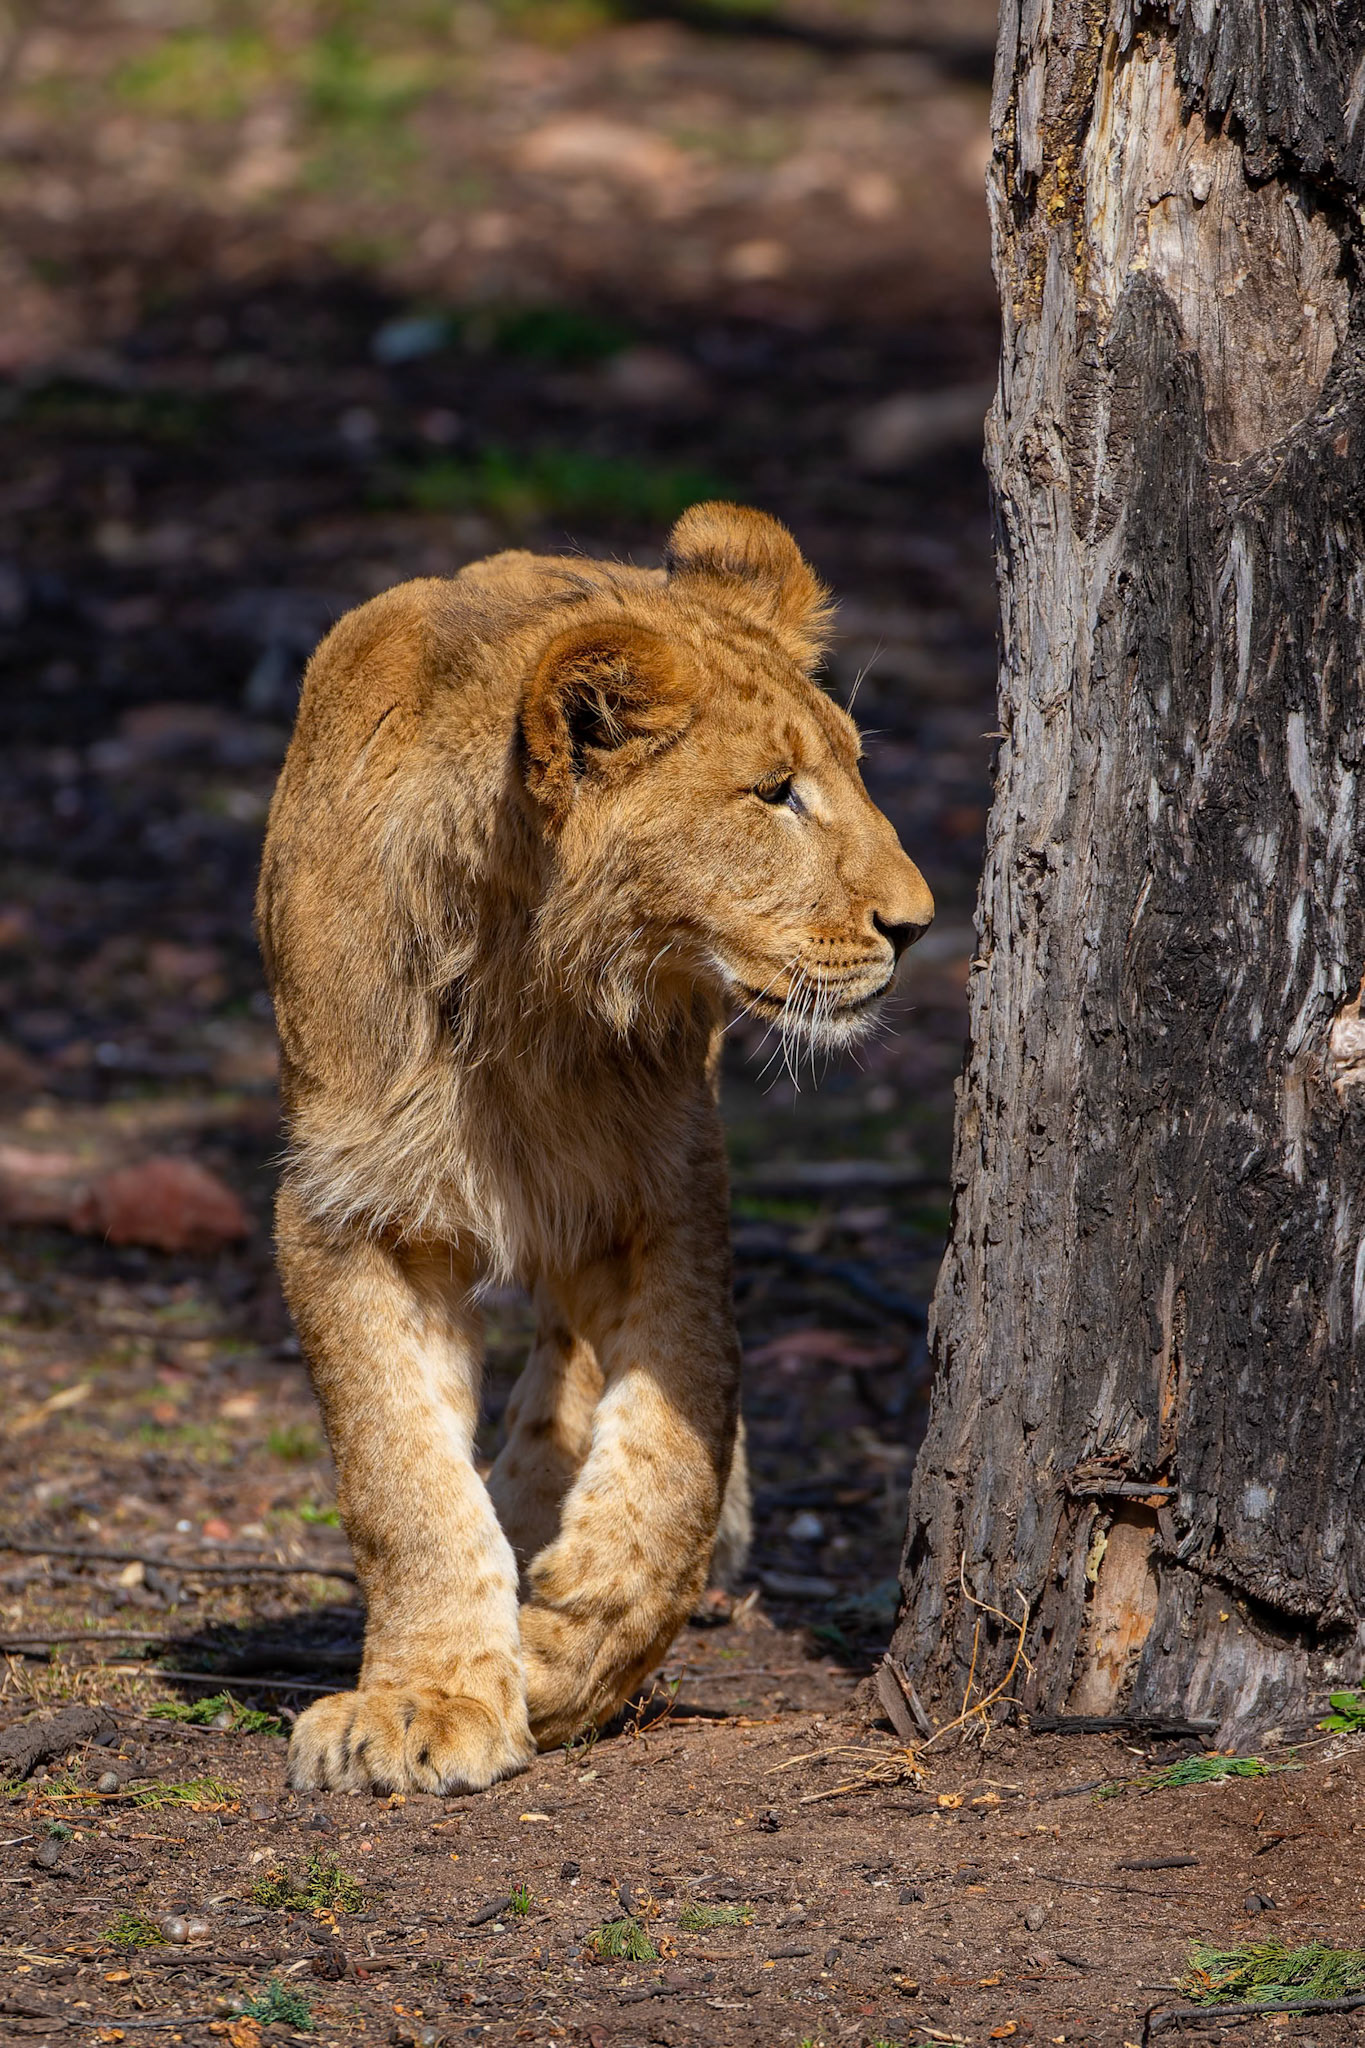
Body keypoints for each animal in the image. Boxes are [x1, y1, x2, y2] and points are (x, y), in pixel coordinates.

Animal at [256, 502, 933, 1794]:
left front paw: (578, 1647)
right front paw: (425, 1700)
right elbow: (400, 1477)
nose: (918, 925)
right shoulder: (345, 1209)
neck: (532, 999)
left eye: (857, 769)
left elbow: (676, 1440)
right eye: (776, 792)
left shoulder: (667, 1189)